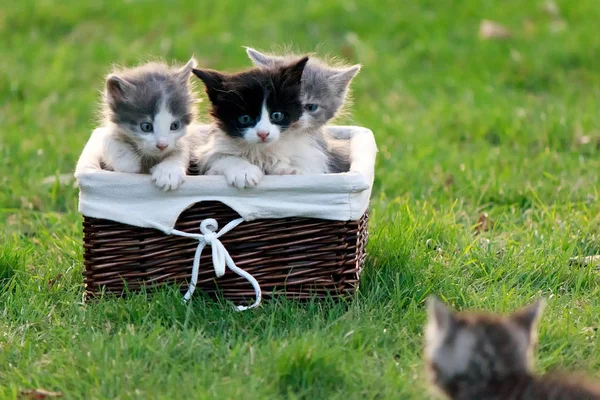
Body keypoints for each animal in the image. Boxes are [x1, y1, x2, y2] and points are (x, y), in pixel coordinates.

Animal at [102, 57, 197, 191]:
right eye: (146, 127)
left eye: (174, 126)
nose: (162, 145)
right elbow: (107, 139)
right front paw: (127, 161)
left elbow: (182, 149)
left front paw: (169, 172)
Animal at [191, 56, 314, 189]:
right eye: (245, 118)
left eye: (277, 115)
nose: (263, 134)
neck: (258, 150)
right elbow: (224, 157)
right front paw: (244, 172)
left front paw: (287, 169)